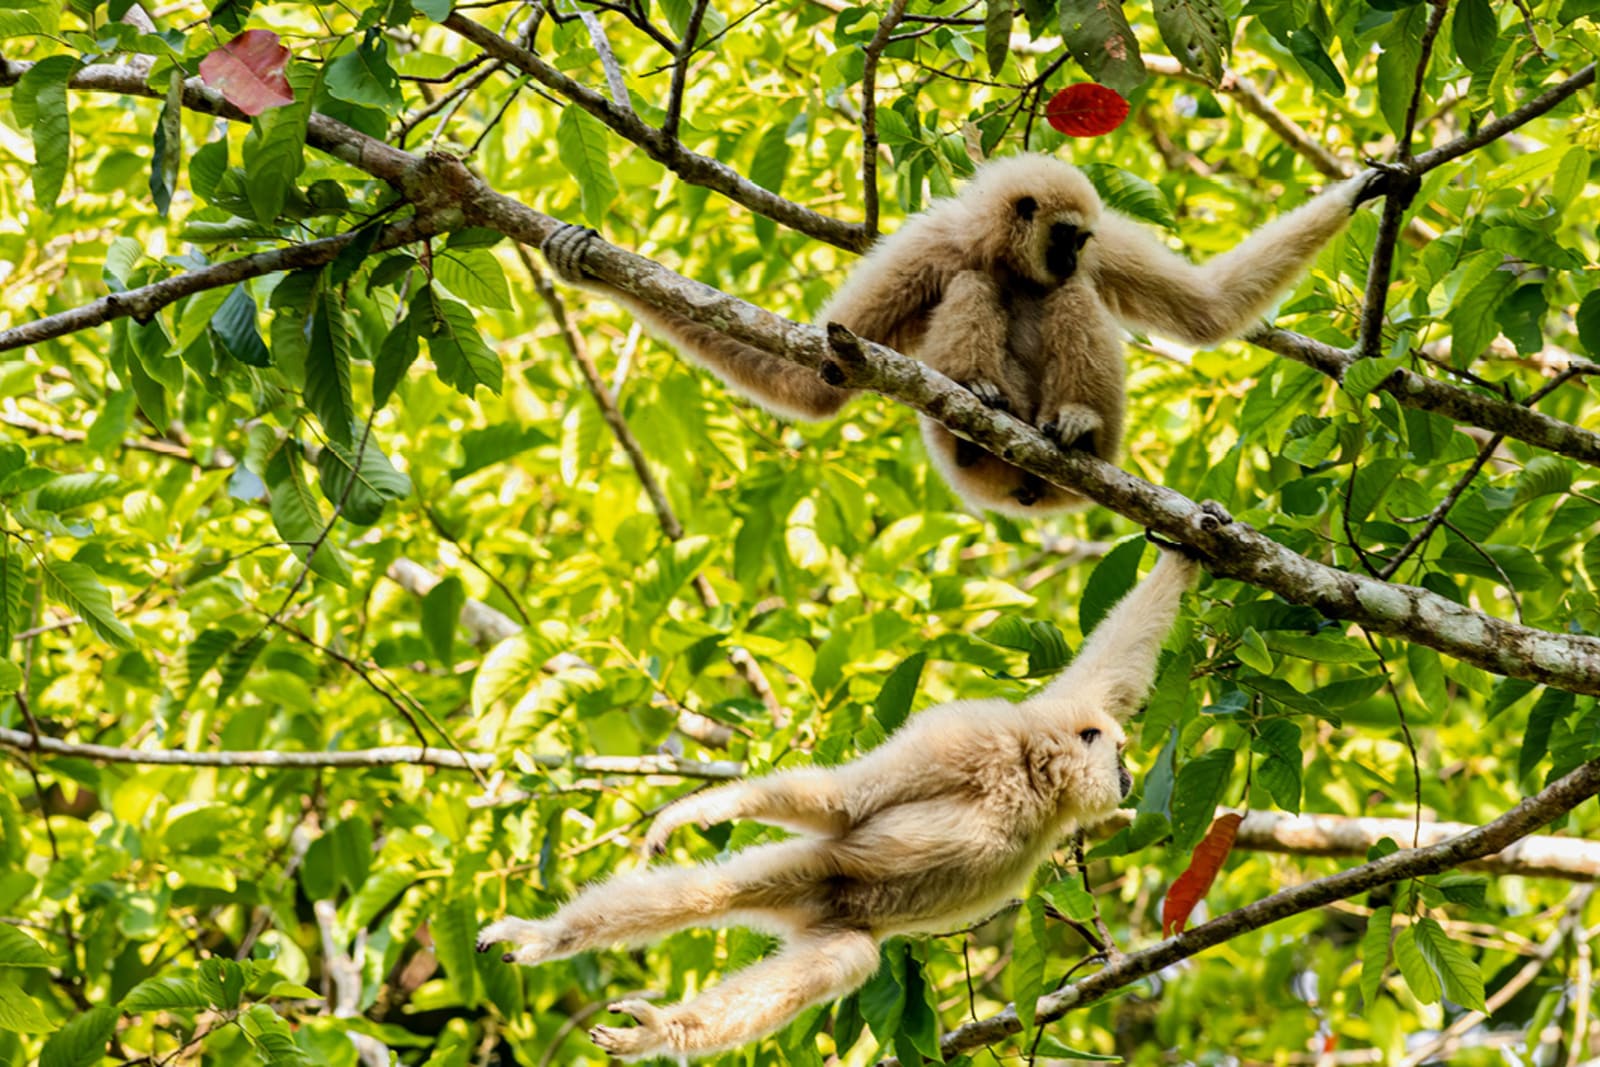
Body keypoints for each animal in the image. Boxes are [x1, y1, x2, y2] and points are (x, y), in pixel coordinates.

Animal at [476, 503, 1230, 1059]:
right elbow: (847, 800)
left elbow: (1118, 669)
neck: (1029, 772)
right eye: (1122, 756)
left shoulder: (1059, 716)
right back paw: (551, 942)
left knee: (840, 960)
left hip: (828, 905)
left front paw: (1189, 552)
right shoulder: (966, 734)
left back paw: (664, 1029)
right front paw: (699, 811)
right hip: (820, 865)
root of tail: (823, 901)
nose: (1129, 774)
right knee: (714, 890)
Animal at [540, 154, 1399, 515]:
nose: (1074, 255)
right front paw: (587, 267)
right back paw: (978, 407)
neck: (1006, 253)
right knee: (971, 291)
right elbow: (819, 383)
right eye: (1065, 234)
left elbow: (1208, 311)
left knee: (1072, 304)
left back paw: (1077, 427)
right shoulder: (930, 244)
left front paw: (1363, 190)